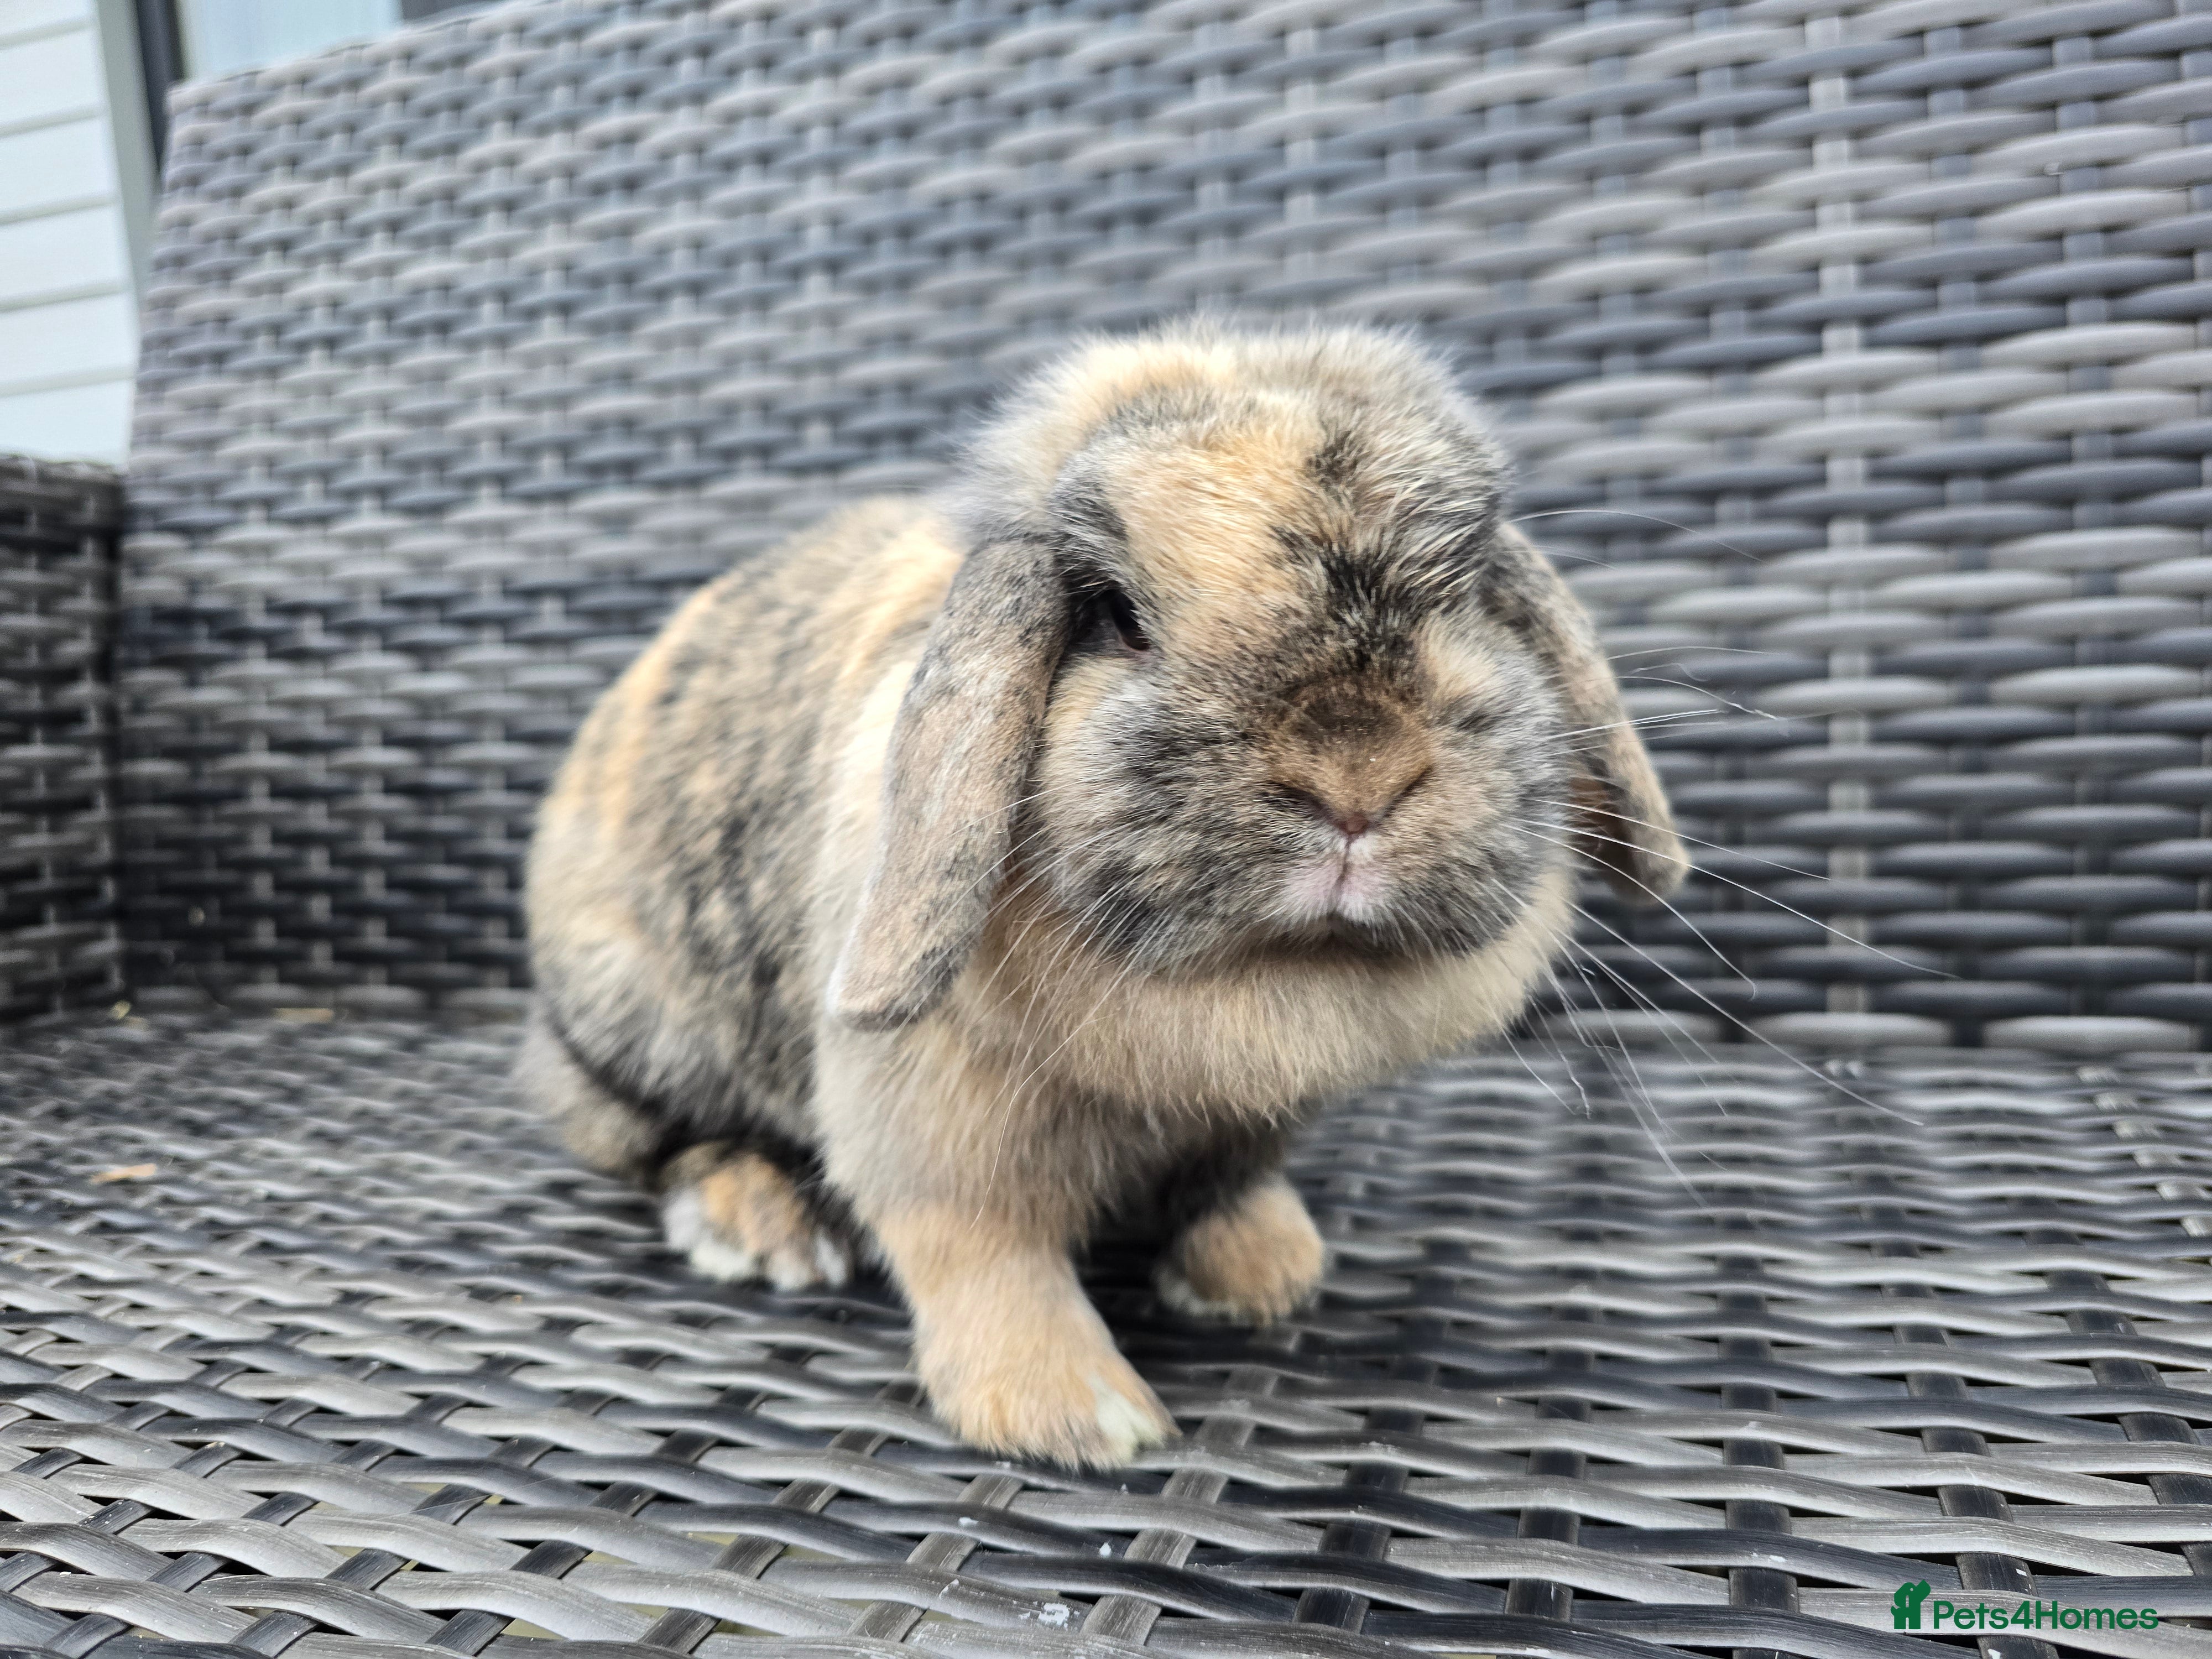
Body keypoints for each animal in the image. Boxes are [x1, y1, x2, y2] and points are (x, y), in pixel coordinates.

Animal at [519, 320, 1686, 1469]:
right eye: (1120, 617)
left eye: (1468, 588)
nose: (1357, 781)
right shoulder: (936, 1130)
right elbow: (984, 1256)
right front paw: (1074, 1415)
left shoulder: (1251, 1127)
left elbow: (1230, 1188)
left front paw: (1264, 1279)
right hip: (643, 1032)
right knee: (646, 1138)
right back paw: (762, 1228)